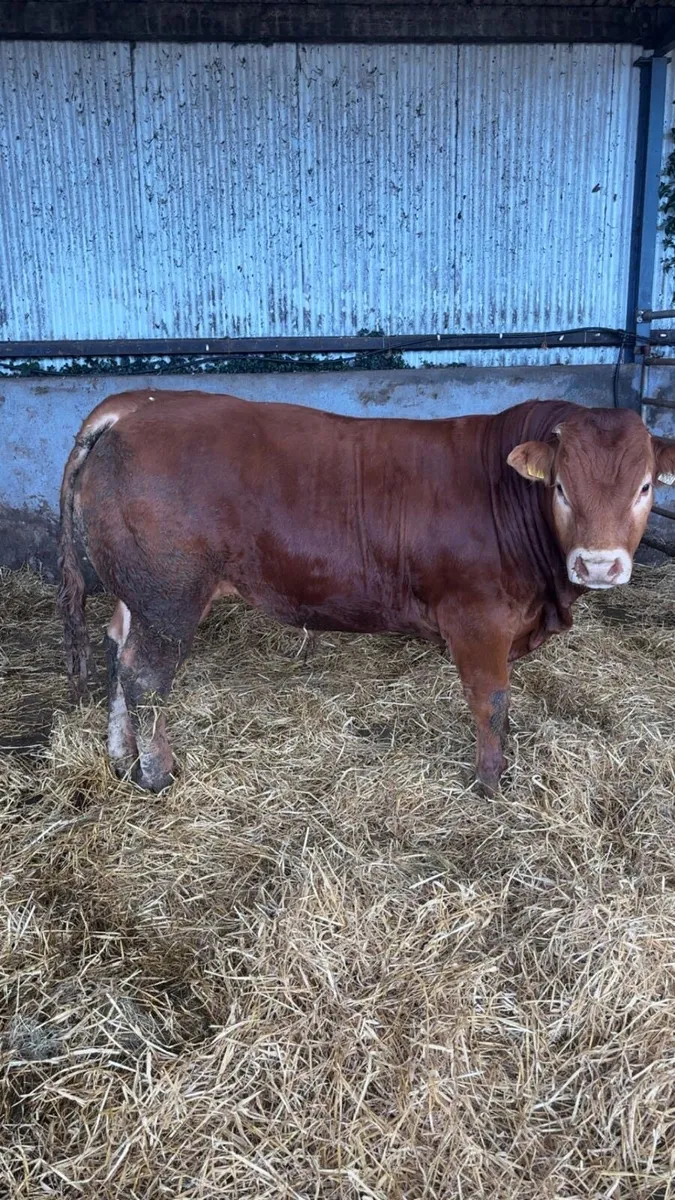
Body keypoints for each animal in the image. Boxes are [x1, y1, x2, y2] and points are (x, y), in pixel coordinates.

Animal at [57, 389, 675, 795]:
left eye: (644, 487)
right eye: (562, 488)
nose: (599, 565)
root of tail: (142, 404)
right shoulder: (478, 618)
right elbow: (491, 700)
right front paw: (490, 782)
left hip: (137, 593)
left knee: (117, 652)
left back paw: (121, 758)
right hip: (170, 598)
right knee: (146, 679)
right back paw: (157, 774)